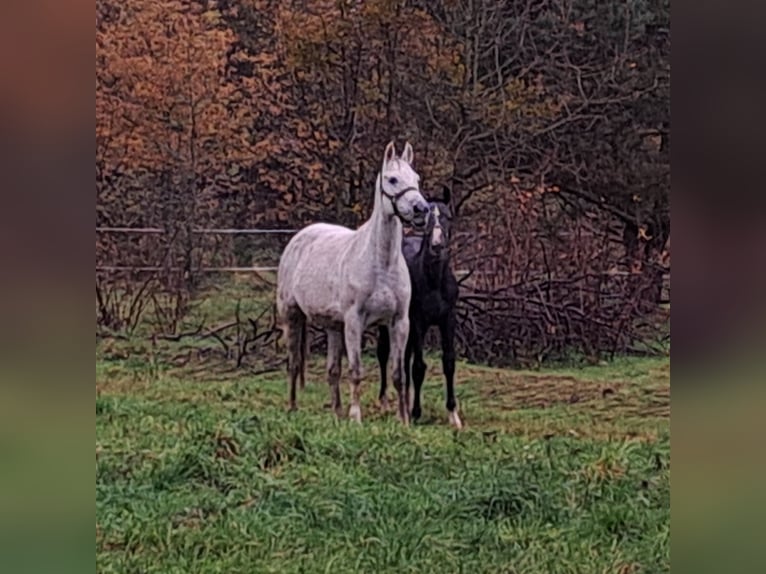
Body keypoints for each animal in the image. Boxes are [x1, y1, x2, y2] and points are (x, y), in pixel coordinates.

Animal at [276, 141, 429, 424]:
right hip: (292, 315)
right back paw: (292, 407)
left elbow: (398, 375)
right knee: (294, 363)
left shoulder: (399, 322)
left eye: (416, 179)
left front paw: (403, 420)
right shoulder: (355, 321)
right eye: (392, 179)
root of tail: (299, 238)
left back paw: (337, 412)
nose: (420, 210)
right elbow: (356, 371)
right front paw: (356, 417)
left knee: (332, 370)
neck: (381, 264)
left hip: (334, 327)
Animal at [376, 187, 462, 428]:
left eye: (448, 216)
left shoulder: (448, 320)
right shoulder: (418, 322)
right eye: (426, 219)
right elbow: (418, 368)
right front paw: (415, 413)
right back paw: (387, 403)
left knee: (403, 359)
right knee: (385, 354)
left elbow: (448, 362)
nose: (437, 246)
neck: (433, 281)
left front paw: (453, 415)